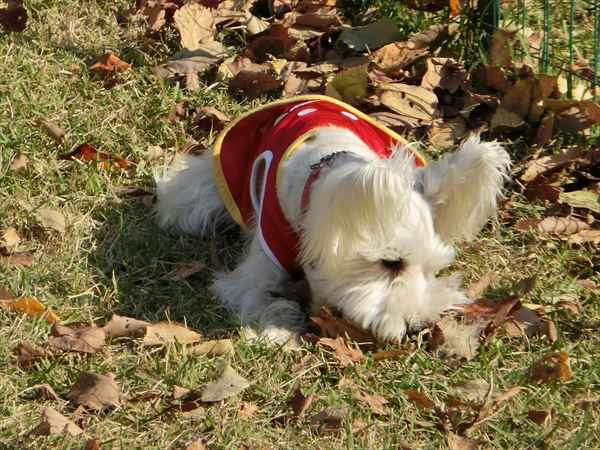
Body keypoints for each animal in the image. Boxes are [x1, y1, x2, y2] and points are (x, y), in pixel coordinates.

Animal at [154, 95, 510, 345]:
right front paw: (279, 330)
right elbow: (259, 295)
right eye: (391, 262)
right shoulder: (257, 268)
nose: (418, 326)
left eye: (434, 270)